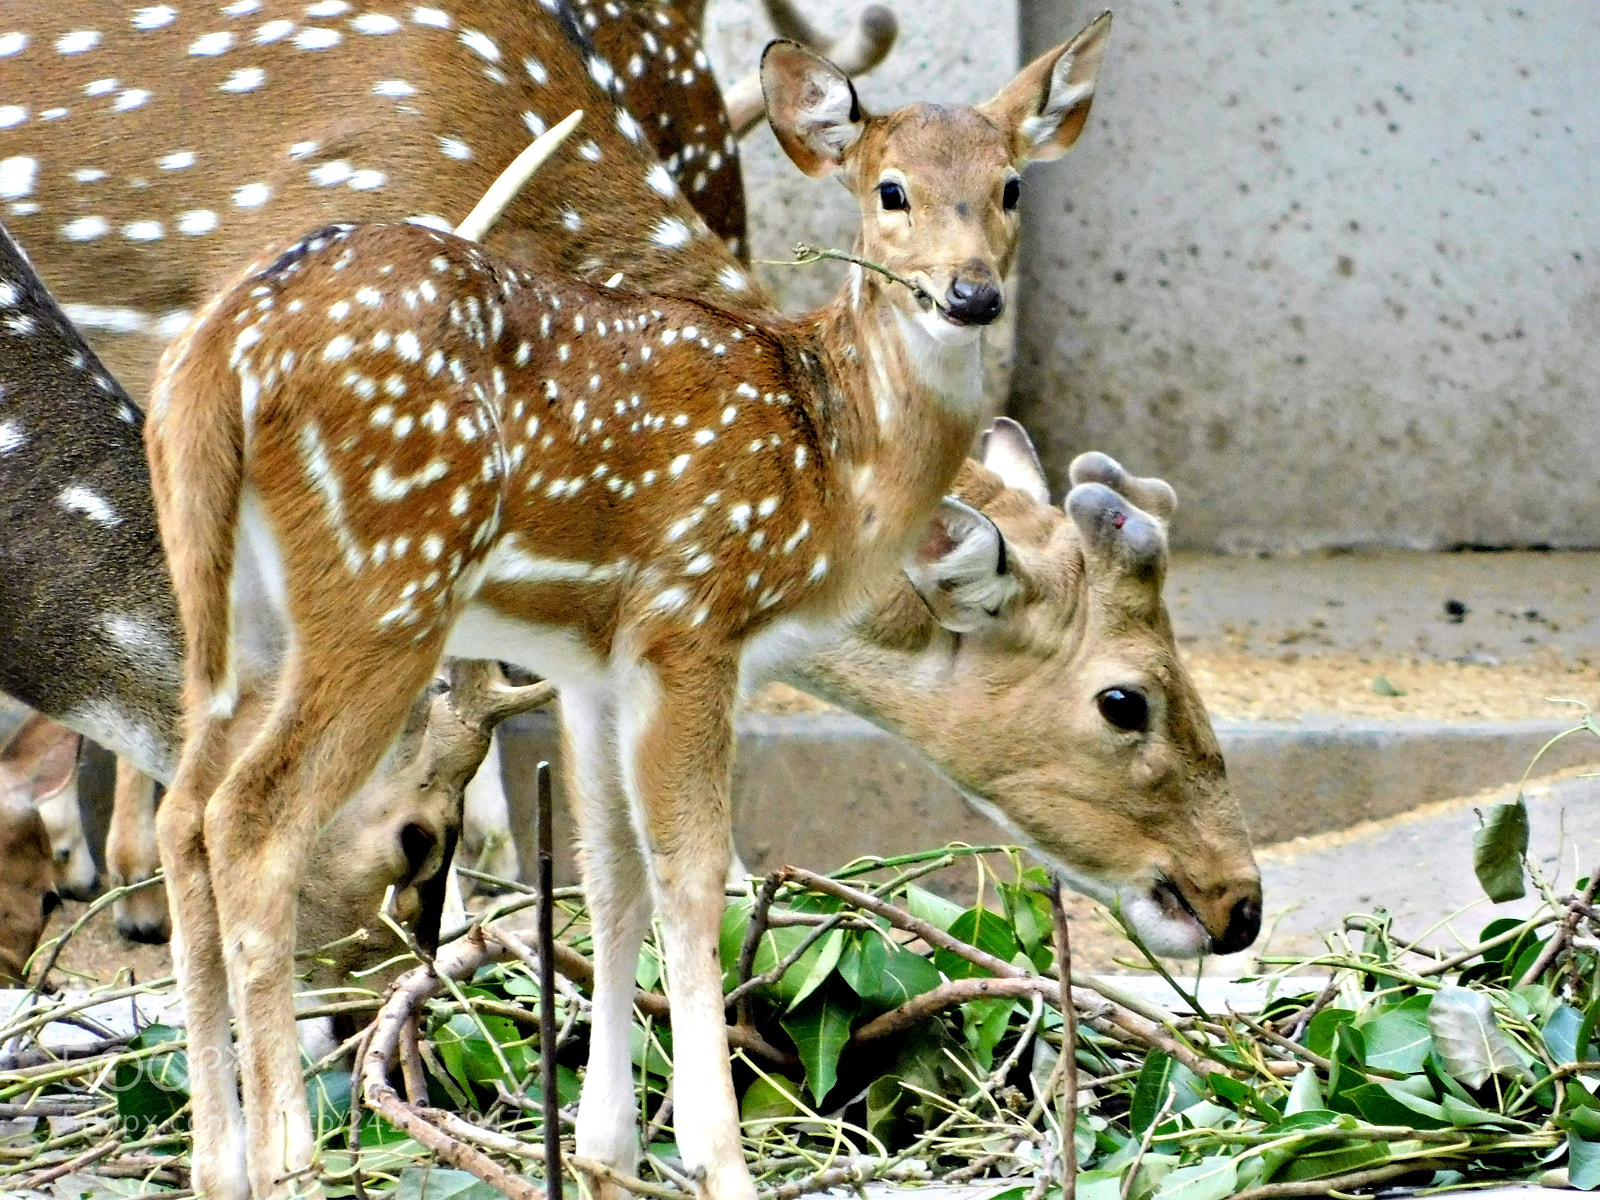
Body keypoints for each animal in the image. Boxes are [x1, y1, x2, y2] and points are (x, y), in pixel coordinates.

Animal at [142, 18, 1119, 1200]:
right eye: (890, 190)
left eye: (1011, 185)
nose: (971, 293)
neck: (834, 458)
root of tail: (219, 353)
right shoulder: (691, 616)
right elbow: (693, 876)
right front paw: (718, 1158)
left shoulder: (597, 658)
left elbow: (609, 876)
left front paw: (610, 1148)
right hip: (388, 584)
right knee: (251, 820)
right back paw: (294, 1158)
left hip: (231, 610)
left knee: (184, 811)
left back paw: (217, 1161)